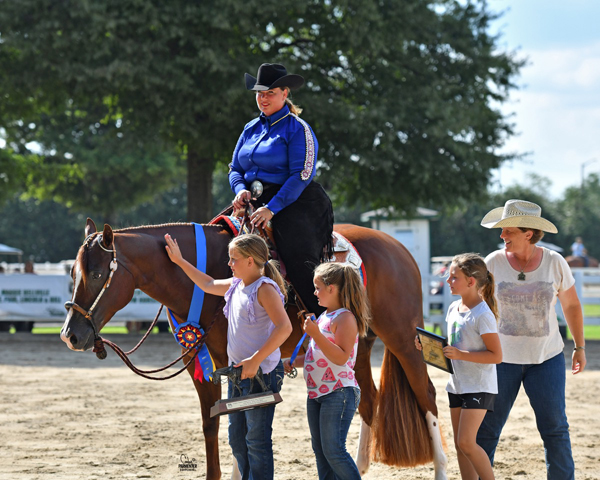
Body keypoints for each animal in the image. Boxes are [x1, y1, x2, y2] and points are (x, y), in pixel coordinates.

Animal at [61, 219, 448, 478]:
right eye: (73, 274)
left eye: (98, 274)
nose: (70, 335)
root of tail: (397, 248)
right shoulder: (202, 363)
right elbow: (215, 423)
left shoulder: (235, 363)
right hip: (361, 346)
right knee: (368, 399)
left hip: (403, 337)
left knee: (426, 395)